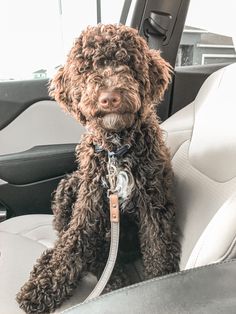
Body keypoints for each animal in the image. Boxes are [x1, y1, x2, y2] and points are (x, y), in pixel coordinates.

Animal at [16, 24, 181, 314]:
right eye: (85, 68)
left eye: (128, 62)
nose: (109, 98)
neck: (117, 148)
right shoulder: (91, 200)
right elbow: (73, 244)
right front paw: (41, 288)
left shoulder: (154, 200)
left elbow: (158, 247)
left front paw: (160, 286)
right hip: (69, 186)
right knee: (70, 239)